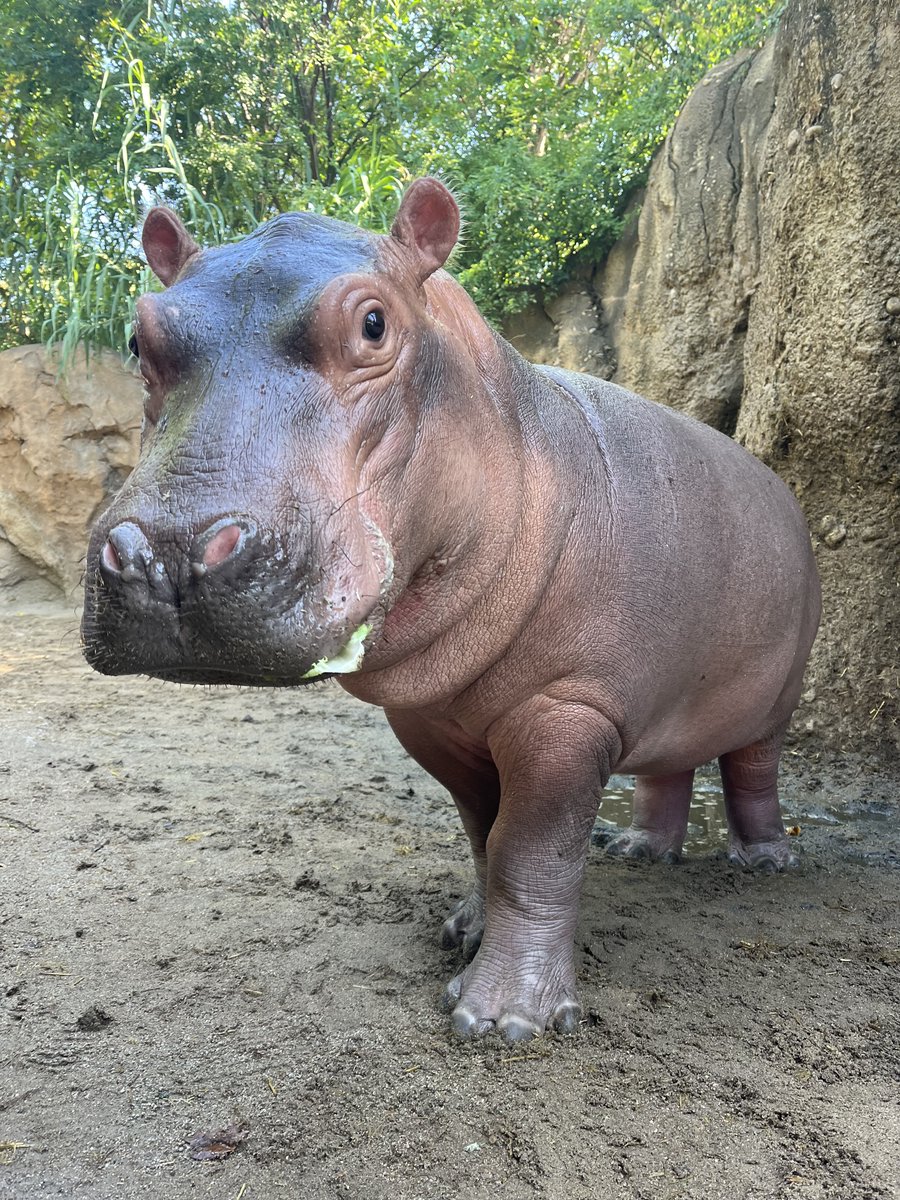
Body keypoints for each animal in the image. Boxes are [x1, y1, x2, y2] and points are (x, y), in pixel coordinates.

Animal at [83, 178, 821, 1042]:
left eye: (374, 323)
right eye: (140, 339)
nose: (165, 553)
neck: (515, 434)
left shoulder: (568, 710)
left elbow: (532, 853)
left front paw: (501, 1020)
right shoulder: (435, 720)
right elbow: (482, 835)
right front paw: (463, 933)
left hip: (775, 694)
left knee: (753, 771)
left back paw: (763, 862)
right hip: (668, 683)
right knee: (668, 769)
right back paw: (639, 852)